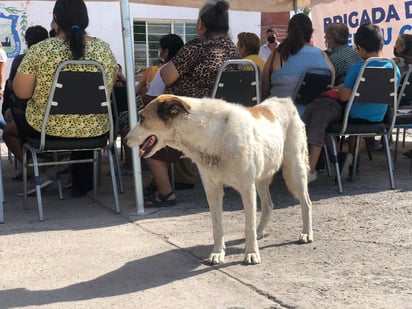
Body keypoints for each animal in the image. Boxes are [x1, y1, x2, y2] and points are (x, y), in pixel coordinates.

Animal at [125, 92, 312, 264]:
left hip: (295, 169)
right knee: (268, 205)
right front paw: (217, 253)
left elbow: (248, 226)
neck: (212, 134)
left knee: (306, 203)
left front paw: (251, 253)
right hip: (261, 178)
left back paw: (306, 233)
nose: (125, 140)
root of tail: (285, 100)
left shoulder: (247, 189)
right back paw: (260, 232)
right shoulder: (213, 190)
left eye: (142, 118)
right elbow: (217, 226)